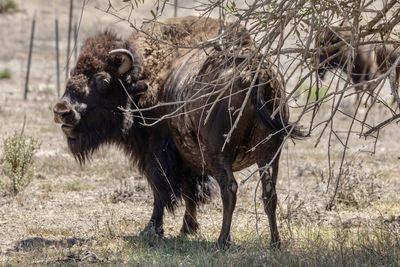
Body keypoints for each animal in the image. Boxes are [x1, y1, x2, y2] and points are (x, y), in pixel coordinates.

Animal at [54, 16, 304, 249]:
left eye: (104, 80)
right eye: (73, 71)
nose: (62, 111)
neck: (143, 77)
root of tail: (256, 73)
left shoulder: (157, 154)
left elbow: (161, 191)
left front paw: (152, 230)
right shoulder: (187, 159)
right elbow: (190, 192)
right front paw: (187, 227)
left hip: (219, 153)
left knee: (229, 188)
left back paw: (222, 241)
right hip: (268, 152)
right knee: (269, 192)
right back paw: (275, 242)